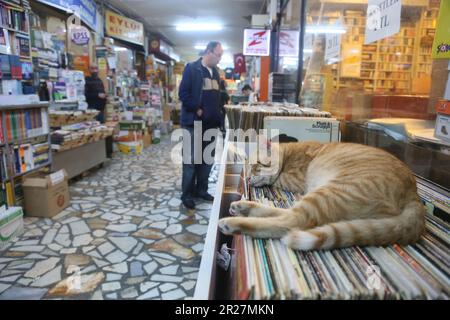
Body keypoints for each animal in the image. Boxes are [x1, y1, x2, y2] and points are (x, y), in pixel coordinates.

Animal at [218, 142, 426, 250]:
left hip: (329, 193)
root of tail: (413, 192)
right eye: (246, 168)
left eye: (257, 166)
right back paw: (244, 207)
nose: (248, 177)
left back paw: (234, 223)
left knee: (291, 221)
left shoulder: (292, 179)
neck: (288, 153)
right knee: (284, 215)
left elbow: (276, 179)